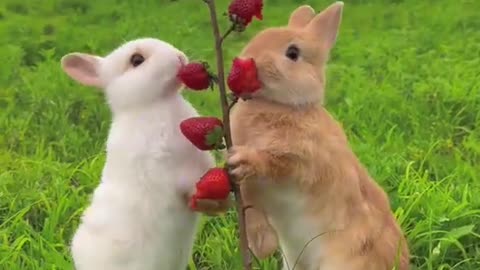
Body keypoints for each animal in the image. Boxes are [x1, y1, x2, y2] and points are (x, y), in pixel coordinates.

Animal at [225, 2, 408, 270]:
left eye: (293, 53)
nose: (246, 61)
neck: (284, 106)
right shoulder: (252, 193)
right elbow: (251, 209)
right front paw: (261, 246)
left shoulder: (301, 160)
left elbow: (273, 163)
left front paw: (243, 160)